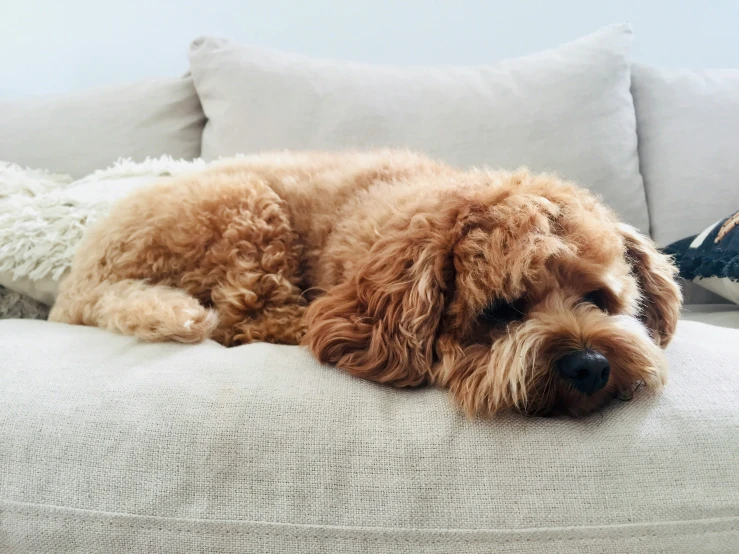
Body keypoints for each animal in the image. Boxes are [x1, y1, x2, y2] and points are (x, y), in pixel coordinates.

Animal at [49, 149, 684, 416]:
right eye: (502, 311)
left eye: (599, 299)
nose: (591, 366)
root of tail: (80, 280)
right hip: (243, 205)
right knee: (248, 317)